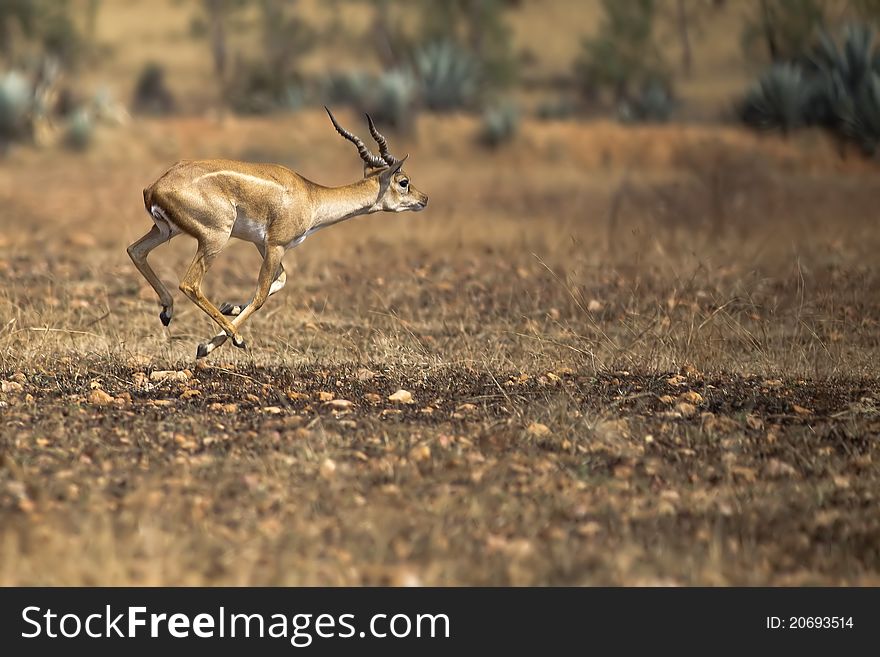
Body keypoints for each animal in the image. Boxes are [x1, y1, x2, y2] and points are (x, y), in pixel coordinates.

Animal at [129, 110, 428, 362]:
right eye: (404, 182)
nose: (424, 199)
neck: (311, 196)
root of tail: (154, 188)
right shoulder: (276, 245)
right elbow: (262, 294)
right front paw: (208, 345)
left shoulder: (263, 245)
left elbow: (280, 281)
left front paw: (229, 307)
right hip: (215, 239)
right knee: (189, 284)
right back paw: (237, 338)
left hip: (166, 230)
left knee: (136, 250)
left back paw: (167, 311)